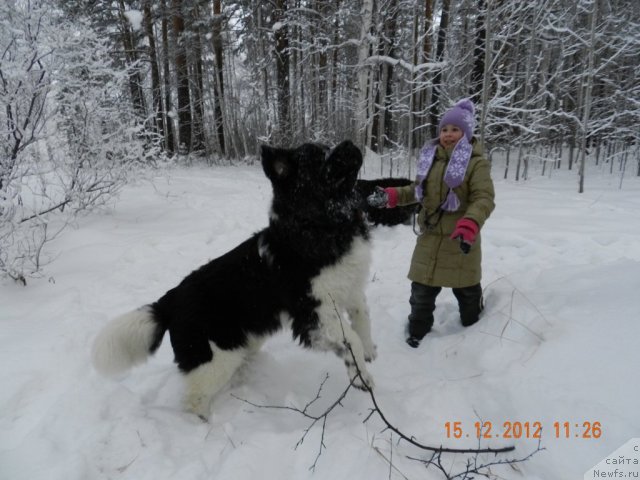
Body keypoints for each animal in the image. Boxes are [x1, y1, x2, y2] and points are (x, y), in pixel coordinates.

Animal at [92, 141, 378, 418]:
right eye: (318, 160)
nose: (350, 142)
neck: (320, 227)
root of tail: (168, 301)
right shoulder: (314, 313)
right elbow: (350, 338)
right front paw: (361, 377)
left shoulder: (351, 287)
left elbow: (362, 318)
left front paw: (369, 353)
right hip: (213, 357)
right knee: (194, 399)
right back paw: (202, 425)